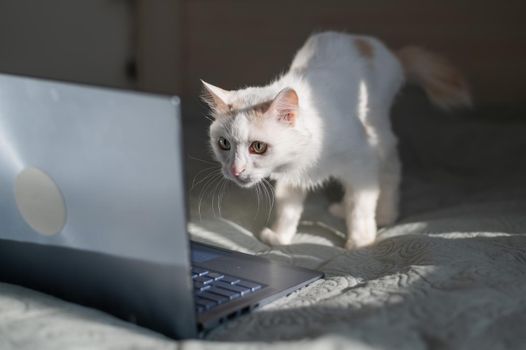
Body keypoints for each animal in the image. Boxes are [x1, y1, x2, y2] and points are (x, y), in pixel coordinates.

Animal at [201, 30, 470, 249]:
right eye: (224, 144)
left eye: (258, 147)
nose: (235, 170)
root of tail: (382, 49)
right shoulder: (292, 178)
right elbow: (287, 210)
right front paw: (280, 238)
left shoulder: (362, 161)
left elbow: (361, 205)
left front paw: (361, 241)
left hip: (379, 133)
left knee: (389, 173)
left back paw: (384, 215)